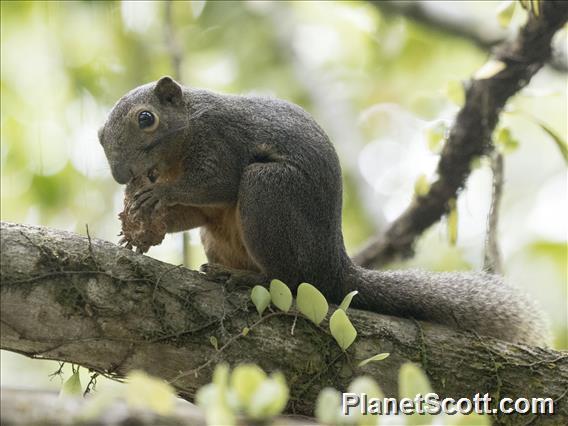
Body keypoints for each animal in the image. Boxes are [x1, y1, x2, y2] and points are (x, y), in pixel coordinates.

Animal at [98, 76, 552, 348]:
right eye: (101, 137)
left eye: (146, 119)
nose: (121, 176)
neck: (184, 131)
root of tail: (333, 266)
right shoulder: (201, 206)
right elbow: (195, 213)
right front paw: (138, 230)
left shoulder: (220, 139)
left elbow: (219, 182)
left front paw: (158, 196)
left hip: (270, 190)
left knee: (287, 278)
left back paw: (246, 278)